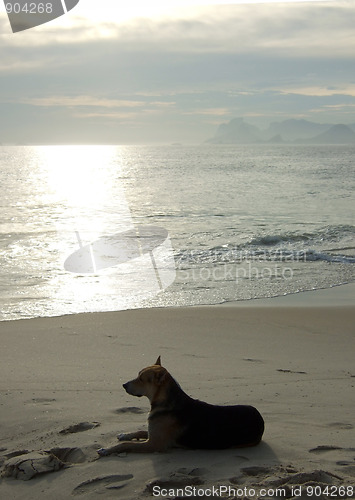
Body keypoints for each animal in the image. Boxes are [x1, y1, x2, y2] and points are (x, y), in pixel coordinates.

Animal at [97, 356, 264, 458]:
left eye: (142, 379)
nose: (124, 385)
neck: (166, 402)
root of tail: (260, 417)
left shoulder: (154, 444)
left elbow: (126, 445)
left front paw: (107, 450)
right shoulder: (154, 433)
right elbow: (139, 431)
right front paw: (124, 434)